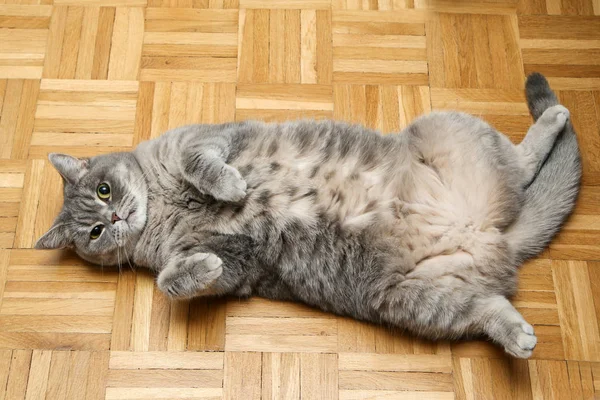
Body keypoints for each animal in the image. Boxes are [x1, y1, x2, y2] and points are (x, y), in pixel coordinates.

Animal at [35, 72, 580, 360]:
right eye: (94, 231)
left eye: (104, 190)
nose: (116, 219)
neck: (163, 207)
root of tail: (493, 236)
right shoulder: (238, 263)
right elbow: (175, 280)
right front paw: (199, 267)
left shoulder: (208, 138)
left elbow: (200, 163)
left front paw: (230, 186)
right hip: (418, 301)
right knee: (489, 308)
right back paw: (519, 336)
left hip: (447, 131)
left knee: (524, 160)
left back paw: (553, 118)